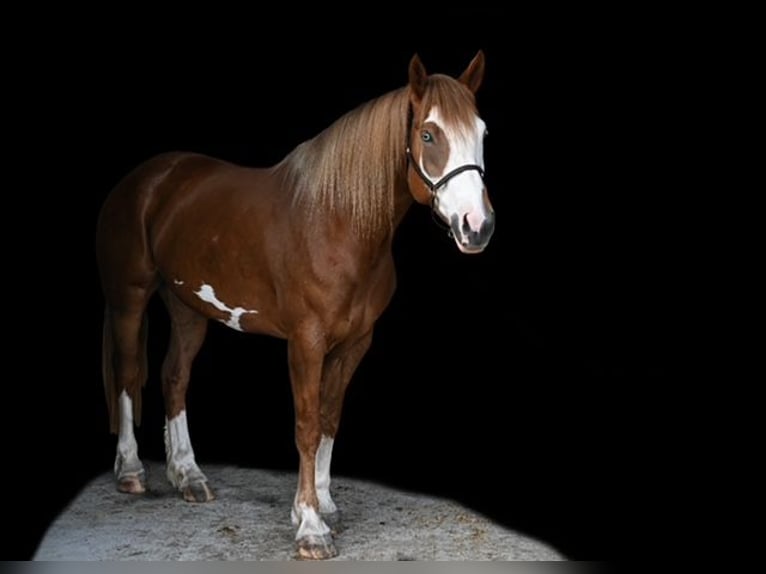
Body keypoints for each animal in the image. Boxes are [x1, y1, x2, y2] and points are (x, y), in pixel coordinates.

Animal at [96, 51, 495, 560]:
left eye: (482, 133)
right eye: (428, 134)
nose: (477, 226)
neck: (337, 218)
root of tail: (144, 179)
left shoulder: (355, 343)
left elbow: (328, 419)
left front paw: (324, 506)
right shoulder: (306, 341)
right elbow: (305, 425)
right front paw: (309, 527)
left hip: (188, 309)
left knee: (174, 377)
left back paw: (189, 476)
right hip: (130, 298)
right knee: (129, 374)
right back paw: (131, 471)